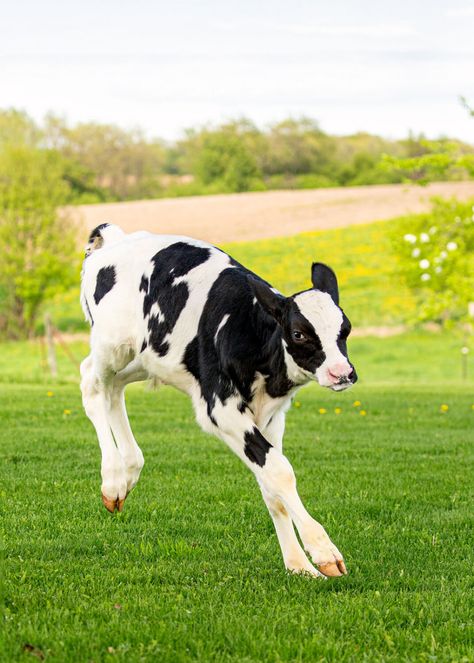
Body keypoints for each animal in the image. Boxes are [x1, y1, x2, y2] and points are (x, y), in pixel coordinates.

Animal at [80, 226, 356, 580]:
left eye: (345, 328)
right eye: (298, 333)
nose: (342, 373)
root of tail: (115, 238)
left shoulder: (271, 416)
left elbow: (272, 487)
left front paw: (298, 565)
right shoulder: (220, 409)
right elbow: (280, 472)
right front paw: (322, 552)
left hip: (145, 356)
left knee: (114, 387)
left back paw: (129, 469)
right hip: (112, 344)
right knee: (91, 383)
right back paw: (114, 479)